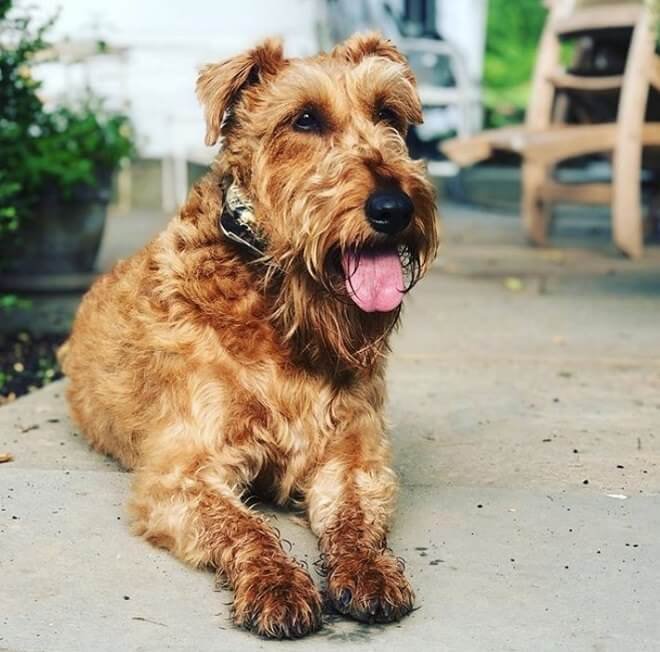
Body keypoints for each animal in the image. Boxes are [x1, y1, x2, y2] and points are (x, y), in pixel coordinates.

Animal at [60, 33, 439, 639]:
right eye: (304, 119)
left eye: (388, 114)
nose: (394, 208)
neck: (281, 312)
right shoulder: (183, 475)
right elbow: (245, 528)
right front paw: (278, 585)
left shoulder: (354, 459)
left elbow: (354, 520)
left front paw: (367, 571)